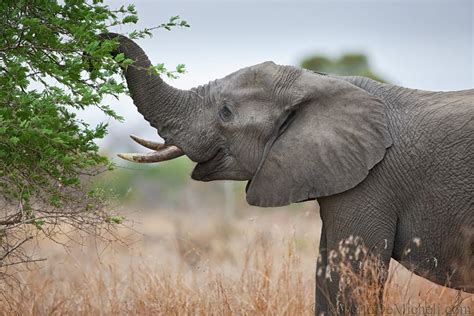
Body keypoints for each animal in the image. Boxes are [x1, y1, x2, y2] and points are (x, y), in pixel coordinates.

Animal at [103, 32, 474, 314]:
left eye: (226, 112)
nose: (105, 37)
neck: (318, 82)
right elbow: (325, 276)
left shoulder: (374, 180)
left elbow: (352, 278)